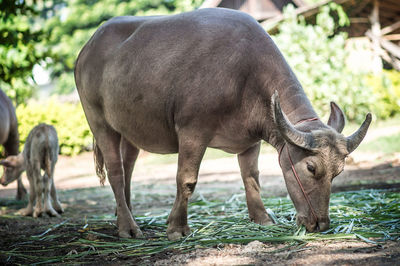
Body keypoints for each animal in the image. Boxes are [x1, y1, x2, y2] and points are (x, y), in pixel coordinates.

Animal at [75, 8, 372, 240]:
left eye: (338, 172)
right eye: (311, 167)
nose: (320, 224)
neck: (246, 78)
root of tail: (86, 50)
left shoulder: (251, 140)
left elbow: (251, 177)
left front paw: (262, 219)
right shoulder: (192, 132)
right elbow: (186, 180)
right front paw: (177, 228)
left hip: (130, 130)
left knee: (128, 167)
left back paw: (124, 213)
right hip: (98, 120)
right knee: (116, 171)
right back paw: (128, 227)